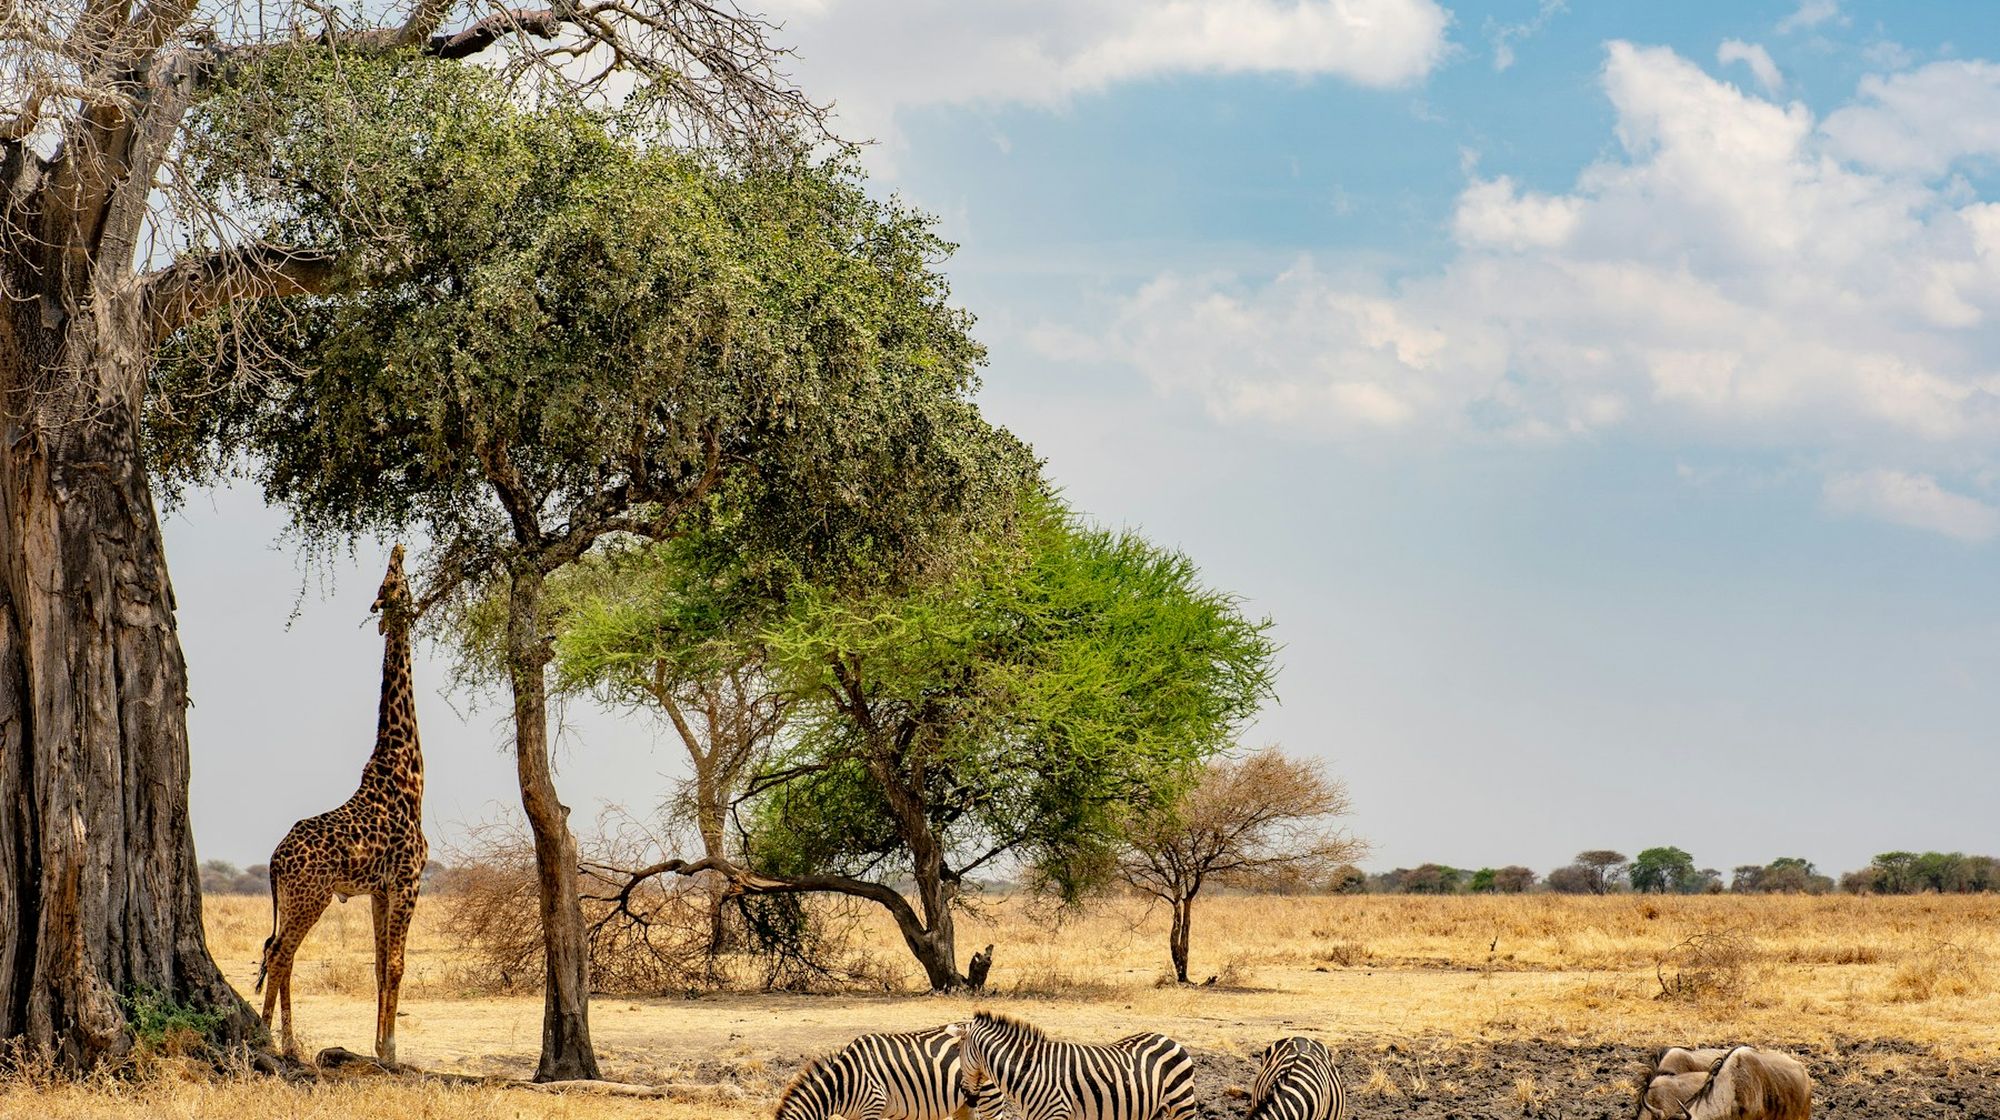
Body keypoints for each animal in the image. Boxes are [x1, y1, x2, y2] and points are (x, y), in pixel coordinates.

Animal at [257, 545, 428, 1065]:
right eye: (390, 581)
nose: (398, 548)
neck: (409, 776)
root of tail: (274, 860)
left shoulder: (379, 889)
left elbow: (379, 963)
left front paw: (377, 1045)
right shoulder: (409, 879)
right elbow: (397, 963)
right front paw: (390, 1051)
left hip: (295, 897)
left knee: (276, 950)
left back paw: (277, 1038)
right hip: (311, 895)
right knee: (281, 953)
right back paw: (279, 1041)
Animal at [947, 1010, 1198, 1120]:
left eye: (957, 1050)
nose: (964, 1093)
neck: (1029, 1071)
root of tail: (1168, 1038)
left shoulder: (1057, 1114)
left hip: (1182, 1105)